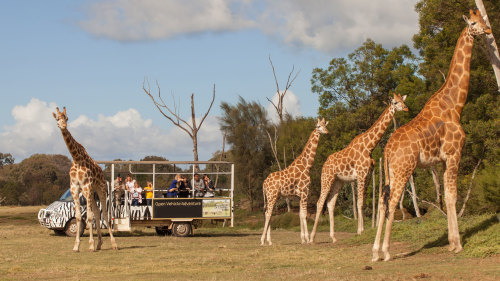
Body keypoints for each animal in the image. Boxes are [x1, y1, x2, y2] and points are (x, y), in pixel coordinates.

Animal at [52, 107, 118, 252]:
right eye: (57, 118)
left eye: (67, 117)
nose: (63, 126)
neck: (76, 159)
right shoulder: (75, 188)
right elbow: (78, 217)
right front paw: (76, 246)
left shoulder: (87, 186)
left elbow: (89, 216)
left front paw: (91, 245)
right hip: (91, 192)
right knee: (97, 213)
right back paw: (99, 244)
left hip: (100, 189)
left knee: (105, 213)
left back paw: (113, 244)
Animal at [308, 93, 410, 242]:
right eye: (396, 102)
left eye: (403, 100)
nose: (406, 108)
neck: (369, 146)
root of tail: (324, 164)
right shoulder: (361, 175)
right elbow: (360, 202)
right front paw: (360, 230)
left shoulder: (367, 176)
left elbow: (362, 202)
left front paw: (361, 229)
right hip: (326, 178)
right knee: (320, 202)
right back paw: (311, 238)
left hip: (338, 181)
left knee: (330, 204)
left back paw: (333, 237)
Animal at [372, 9, 492, 262]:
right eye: (473, 22)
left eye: (482, 20)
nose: (488, 30)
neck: (455, 105)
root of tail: (387, 149)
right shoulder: (455, 153)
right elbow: (453, 196)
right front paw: (458, 245)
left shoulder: (444, 159)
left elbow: (446, 196)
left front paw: (452, 243)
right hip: (404, 169)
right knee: (393, 202)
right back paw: (386, 252)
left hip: (390, 172)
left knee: (383, 202)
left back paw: (375, 252)